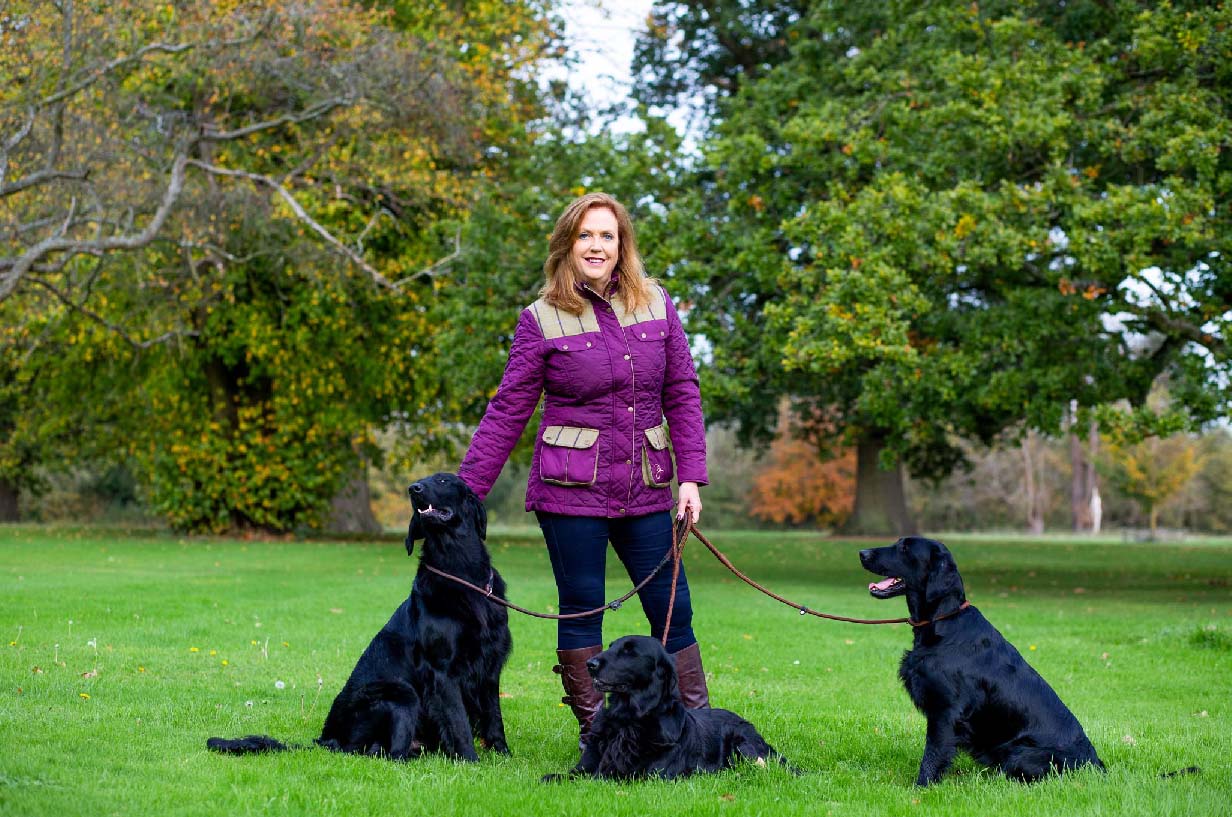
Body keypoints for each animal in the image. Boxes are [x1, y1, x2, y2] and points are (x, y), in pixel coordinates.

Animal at [209, 473, 507, 759]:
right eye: (423, 480)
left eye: (443, 479)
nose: (413, 488)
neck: (461, 573)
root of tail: (326, 739)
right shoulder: (443, 671)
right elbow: (458, 723)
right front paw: (470, 760)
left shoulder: (490, 667)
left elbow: (494, 718)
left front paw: (503, 756)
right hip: (401, 694)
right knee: (390, 754)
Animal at [544, 635, 793, 783]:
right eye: (610, 646)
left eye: (629, 651)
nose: (590, 664)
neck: (627, 717)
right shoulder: (586, 765)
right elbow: (565, 775)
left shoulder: (652, 775)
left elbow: (600, 777)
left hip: (745, 747)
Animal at [857, 537, 1108, 788]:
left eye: (905, 548)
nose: (862, 552)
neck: (944, 621)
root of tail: (1094, 764)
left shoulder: (946, 710)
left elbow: (933, 754)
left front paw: (921, 787)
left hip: (1020, 753)